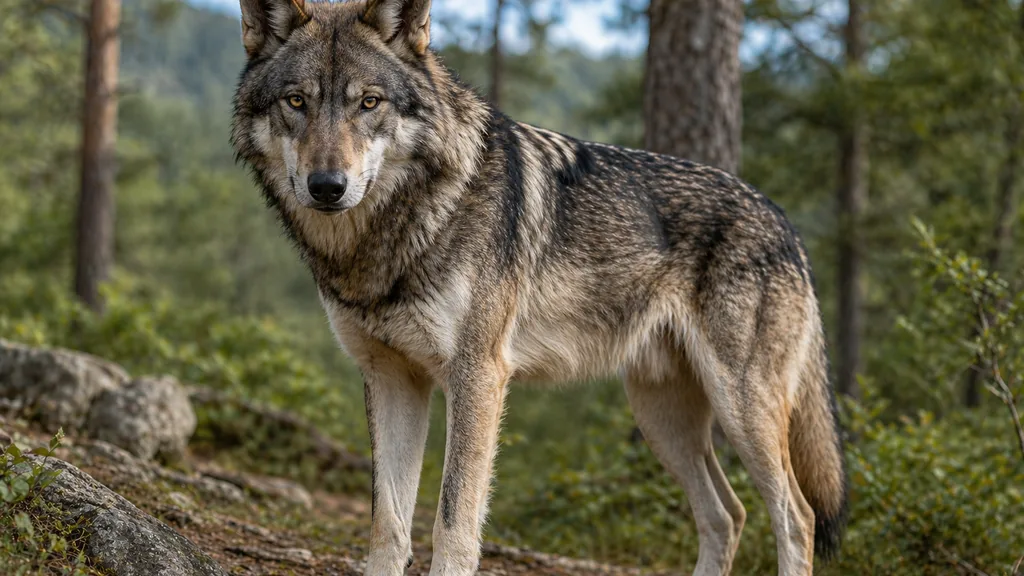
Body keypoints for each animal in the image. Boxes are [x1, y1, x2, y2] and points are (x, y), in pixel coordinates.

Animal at [231, 1, 848, 574]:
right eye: (296, 102)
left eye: (369, 103)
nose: (327, 186)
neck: (398, 232)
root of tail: (786, 224)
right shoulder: (391, 379)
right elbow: (389, 523)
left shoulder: (478, 376)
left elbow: (452, 520)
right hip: (661, 418)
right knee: (728, 515)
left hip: (740, 409)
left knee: (796, 515)